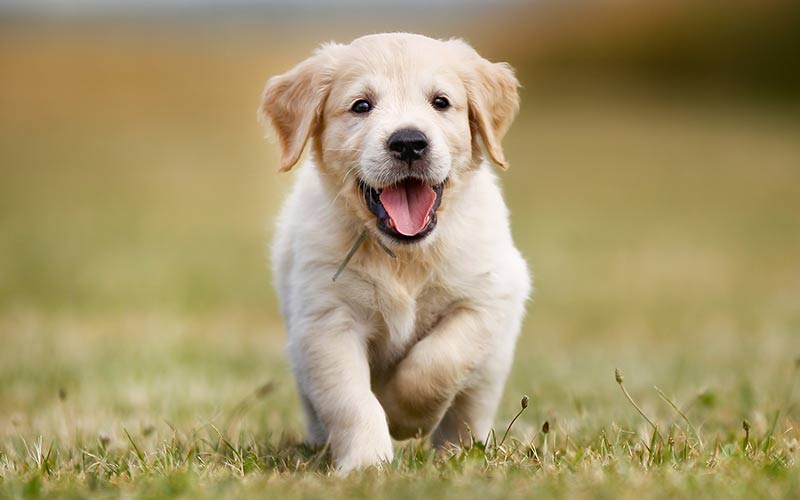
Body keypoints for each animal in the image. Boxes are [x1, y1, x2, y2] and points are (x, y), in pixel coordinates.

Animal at [260, 32, 528, 472]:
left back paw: (459, 452)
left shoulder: (487, 299)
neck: (405, 256)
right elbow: (352, 400)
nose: (408, 142)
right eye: (361, 105)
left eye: (440, 102)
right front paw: (367, 463)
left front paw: (404, 417)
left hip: (492, 365)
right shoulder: (326, 323)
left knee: (469, 408)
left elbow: (439, 361)